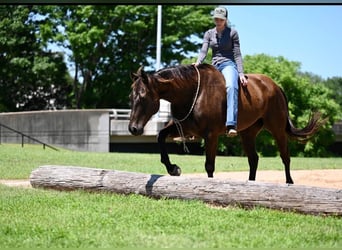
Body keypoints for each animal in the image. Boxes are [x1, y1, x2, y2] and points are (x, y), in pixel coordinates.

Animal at [127, 63, 324, 184]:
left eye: (143, 97)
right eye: (131, 96)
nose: (133, 128)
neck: (193, 92)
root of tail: (276, 87)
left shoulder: (211, 136)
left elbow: (209, 165)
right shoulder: (184, 129)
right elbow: (160, 137)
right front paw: (173, 168)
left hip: (277, 129)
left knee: (285, 157)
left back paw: (289, 183)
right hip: (248, 133)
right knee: (253, 159)